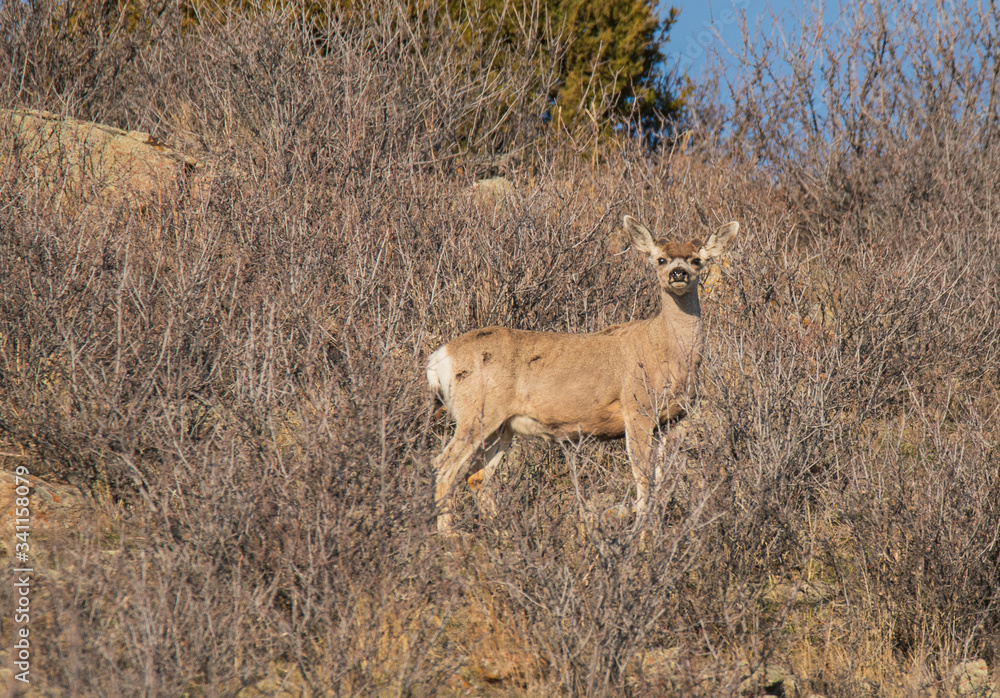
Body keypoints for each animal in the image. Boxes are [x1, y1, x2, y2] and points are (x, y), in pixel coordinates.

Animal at [426, 215, 739, 533]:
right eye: (660, 259)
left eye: (697, 259)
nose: (678, 272)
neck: (665, 351)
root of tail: (439, 358)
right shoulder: (637, 408)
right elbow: (642, 477)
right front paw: (641, 534)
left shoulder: (669, 420)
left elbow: (660, 478)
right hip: (476, 411)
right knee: (444, 466)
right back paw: (449, 537)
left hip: (501, 426)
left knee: (477, 477)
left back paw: (501, 533)